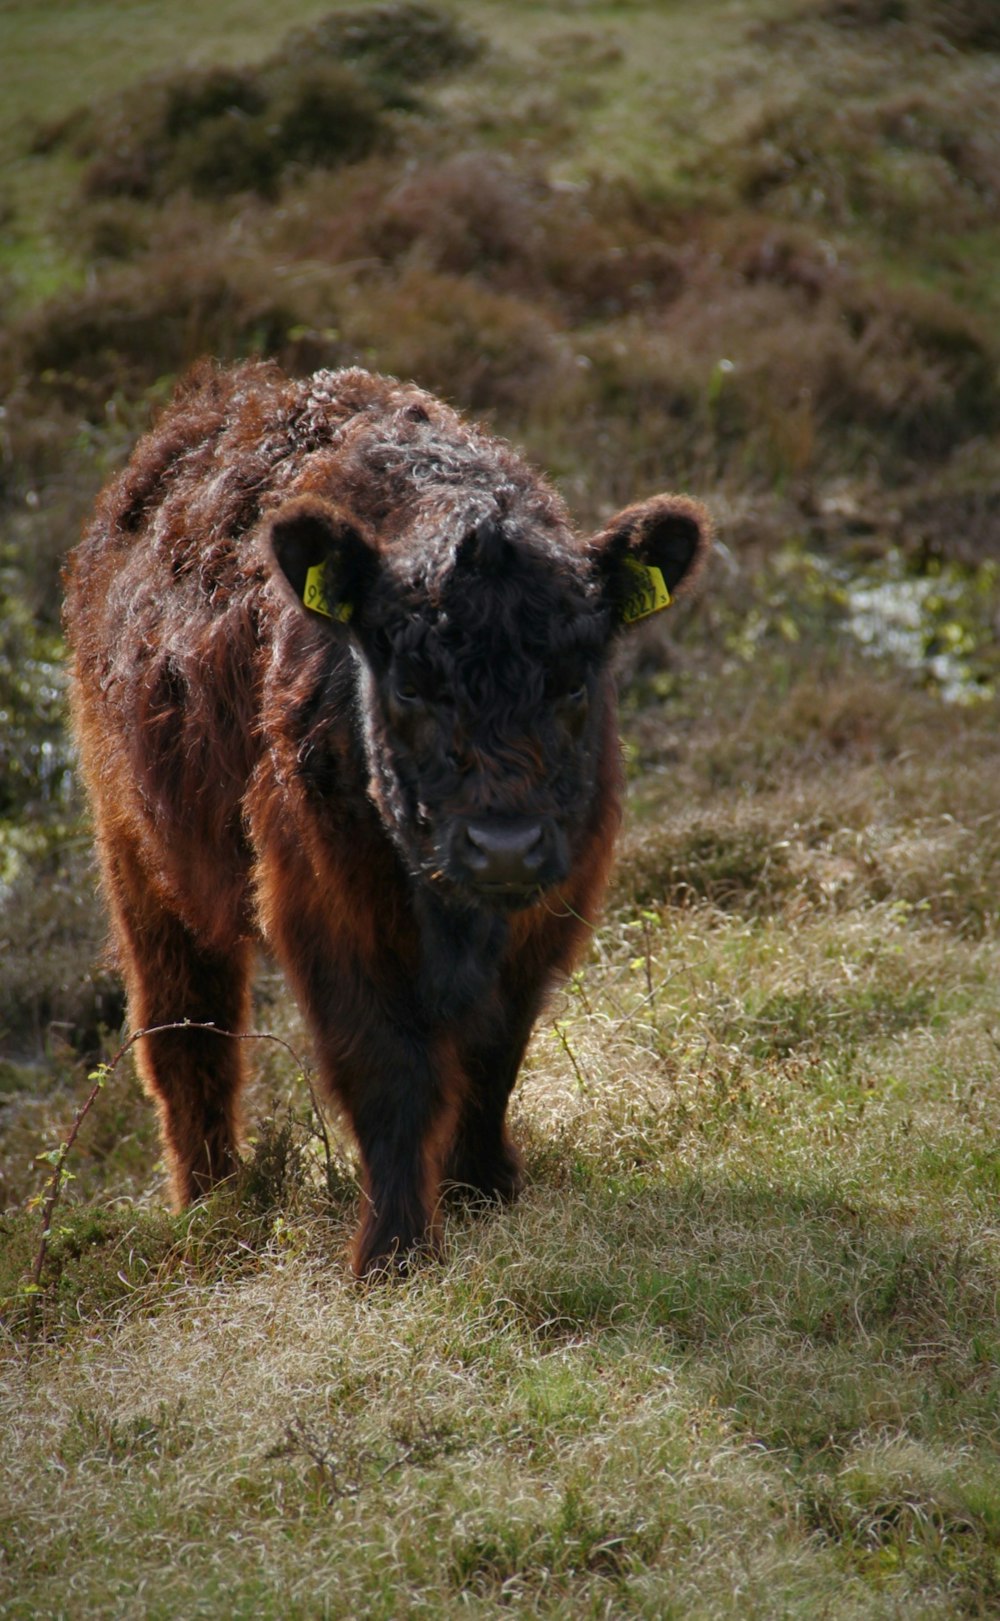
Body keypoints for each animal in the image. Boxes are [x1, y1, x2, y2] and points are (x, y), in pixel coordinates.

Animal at [64, 361, 709, 1270]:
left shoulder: (549, 907)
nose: (502, 845)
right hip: (138, 851)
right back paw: (212, 1204)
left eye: (574, 682)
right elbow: (386, 1072)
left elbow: (492, 1055)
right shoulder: (328, 905)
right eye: (410, 687)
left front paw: (483, 1192)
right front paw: (394, 1250)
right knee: (186, 1031)